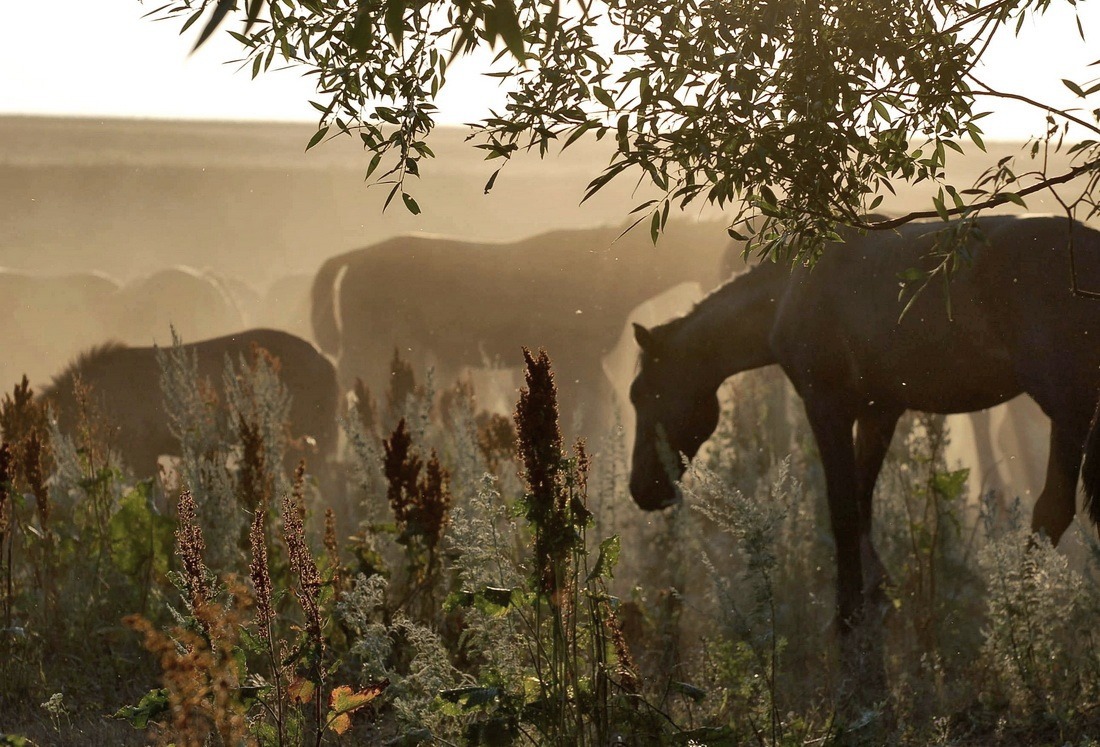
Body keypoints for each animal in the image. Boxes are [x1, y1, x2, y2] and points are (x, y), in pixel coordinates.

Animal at [629, 213, 1100, 686]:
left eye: (641, 394)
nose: (642, 490)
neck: (791, 290)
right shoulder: (879, 412)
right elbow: (861, 508)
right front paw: (876, 599)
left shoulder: (827, 408)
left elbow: (842, 514)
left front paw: (848, 624)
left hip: (1070, 411)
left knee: (1052, 511)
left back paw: (1017, 620)